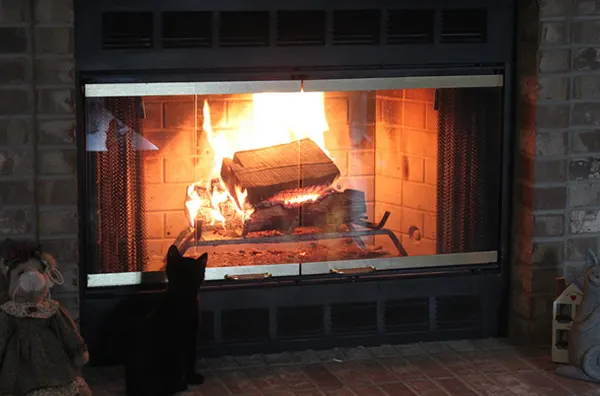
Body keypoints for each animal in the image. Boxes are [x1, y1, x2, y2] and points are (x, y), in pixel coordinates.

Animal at [123, 244, 207, 396]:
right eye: (179, 271)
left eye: (193, 274)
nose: (185, 281)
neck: (183, 302)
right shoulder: (177, 342)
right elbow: (182, 363)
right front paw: (183, 383)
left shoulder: (192, 338)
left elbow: (191, 360)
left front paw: (192, 378)